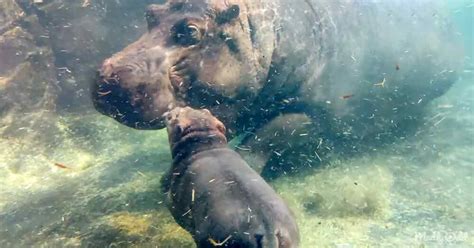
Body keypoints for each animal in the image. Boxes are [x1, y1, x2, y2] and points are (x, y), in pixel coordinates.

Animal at [90, 0, 462, 175]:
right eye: (150, 13)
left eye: (190, 31)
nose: (109, 76)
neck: (261, 28)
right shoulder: (239, 103)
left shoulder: (319, 112)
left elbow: (270, 134)